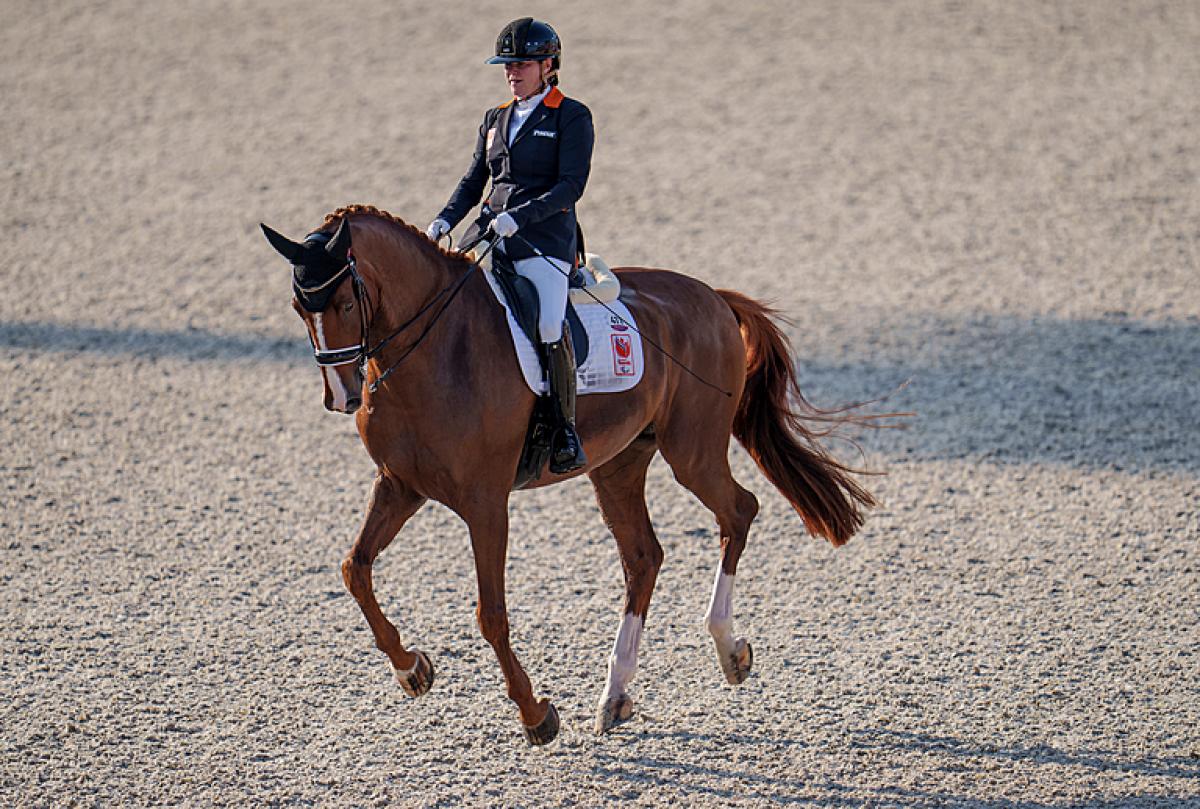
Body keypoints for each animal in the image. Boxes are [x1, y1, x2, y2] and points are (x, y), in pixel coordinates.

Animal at [262, 202, 883, 744]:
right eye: (298, 307)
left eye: (346, 301)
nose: (340, 396)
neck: (432, 350)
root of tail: (711, 295)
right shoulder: (400, 486)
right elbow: (355, 570)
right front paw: (412, 669)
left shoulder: (485, 503)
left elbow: (491, 615)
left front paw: (535, 716)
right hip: (618, 465)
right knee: (644, 556)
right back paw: (615, 696)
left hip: (693, 451)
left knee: (738, 513)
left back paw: (728, 651)